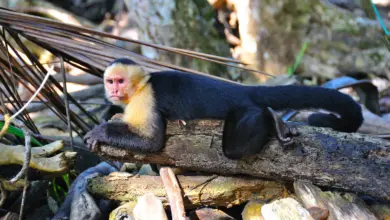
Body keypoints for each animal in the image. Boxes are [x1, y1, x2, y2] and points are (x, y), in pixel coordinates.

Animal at [84, 57, 364, 159]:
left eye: (120, 81)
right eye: (110, 81)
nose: (113, 90)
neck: (140, 88)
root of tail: (243, 89)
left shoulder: (146, 99)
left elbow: (151, 141)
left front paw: (100, 132)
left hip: (245, 110)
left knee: (234, 148)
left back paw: (271, 119)